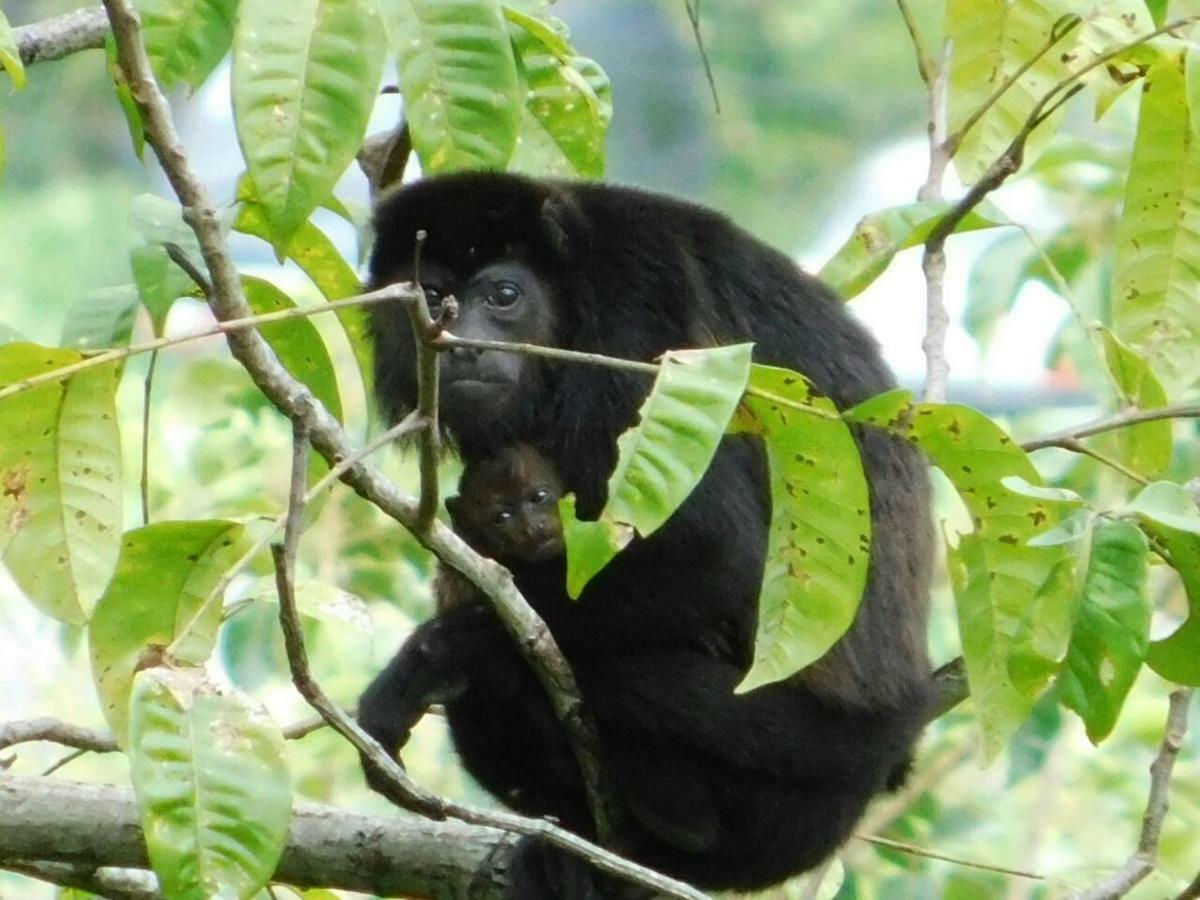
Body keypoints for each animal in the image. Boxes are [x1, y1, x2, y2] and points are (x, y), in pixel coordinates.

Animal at [355, 172, 936, 897]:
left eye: (504, 296)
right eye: (431, 297)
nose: (462, 344)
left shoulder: (635, 321)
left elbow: (717, 559)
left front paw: (438, 651)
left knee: (634, 678)